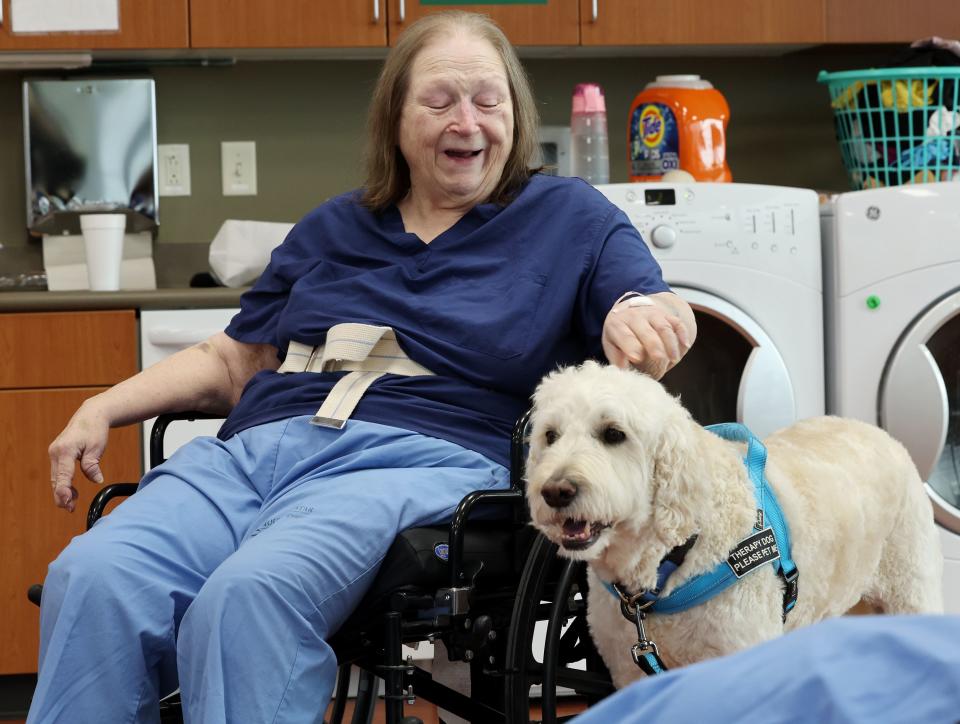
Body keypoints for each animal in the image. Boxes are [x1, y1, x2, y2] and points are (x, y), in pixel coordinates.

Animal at [520, 362, 940, 692]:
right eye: (550, 436)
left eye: (613, 433)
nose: (554, 491)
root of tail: (880, 433)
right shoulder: (630, 673)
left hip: (909, 591)